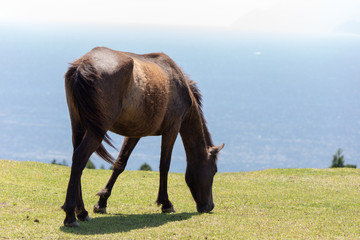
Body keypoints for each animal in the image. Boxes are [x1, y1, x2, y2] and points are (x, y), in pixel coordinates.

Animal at [63, 47, 224, 227]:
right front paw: (166, 203)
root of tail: (82, 66)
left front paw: (102, 202)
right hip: (96, 131)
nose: (209, 206)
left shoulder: (134, 132)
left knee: (77, 161)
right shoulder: (172, 128)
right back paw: (70, 215)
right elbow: (164, 166)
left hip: (78, 127)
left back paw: (81, 212)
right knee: (79, 159)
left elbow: (120, 164)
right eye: (214, 170)